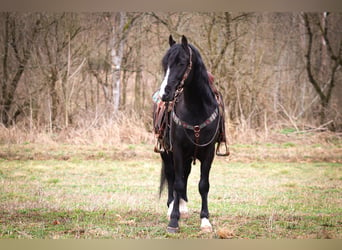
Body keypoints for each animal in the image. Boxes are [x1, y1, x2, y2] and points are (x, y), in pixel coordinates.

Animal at [156, 34, 223, 232]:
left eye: (182, 62)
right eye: (165, 63)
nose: (165, 94)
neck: (197, 109)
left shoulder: (208, 152)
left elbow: (203, 185)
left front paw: (205, 220)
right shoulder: (177, 149)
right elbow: (177, 183)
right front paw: (173, 220)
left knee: (184, 175)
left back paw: (183, 207)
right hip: (166, 153)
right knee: (172, 176)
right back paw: (173, 207)